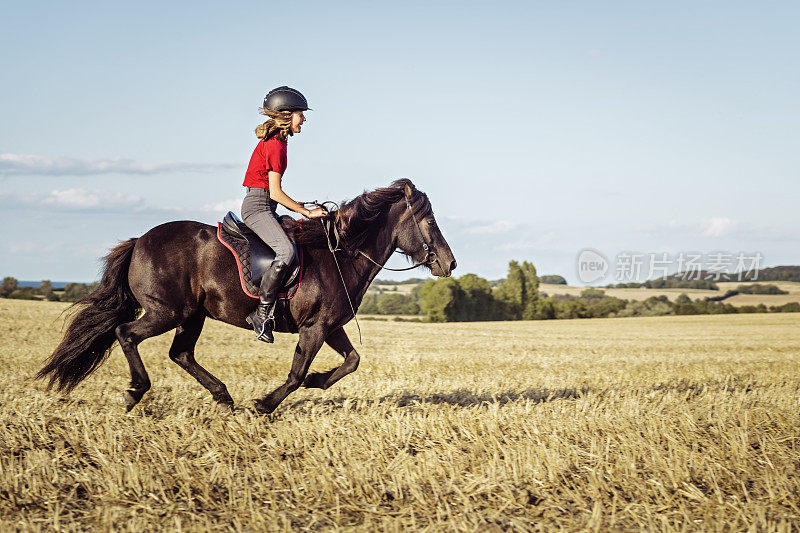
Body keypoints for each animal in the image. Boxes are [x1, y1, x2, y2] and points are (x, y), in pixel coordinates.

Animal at [36, 181, 456, 414]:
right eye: (429, 221)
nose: (449, 263)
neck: (340, 253)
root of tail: (141, 241)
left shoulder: (328, 326)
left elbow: (351, 361)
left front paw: (317, 381)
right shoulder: (315, 328)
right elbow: (296, 373)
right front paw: (266, 404)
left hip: (192, 315)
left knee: (180, 354)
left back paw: (223, 398)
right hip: (166, 312)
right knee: (126, 334)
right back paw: (136, 391)